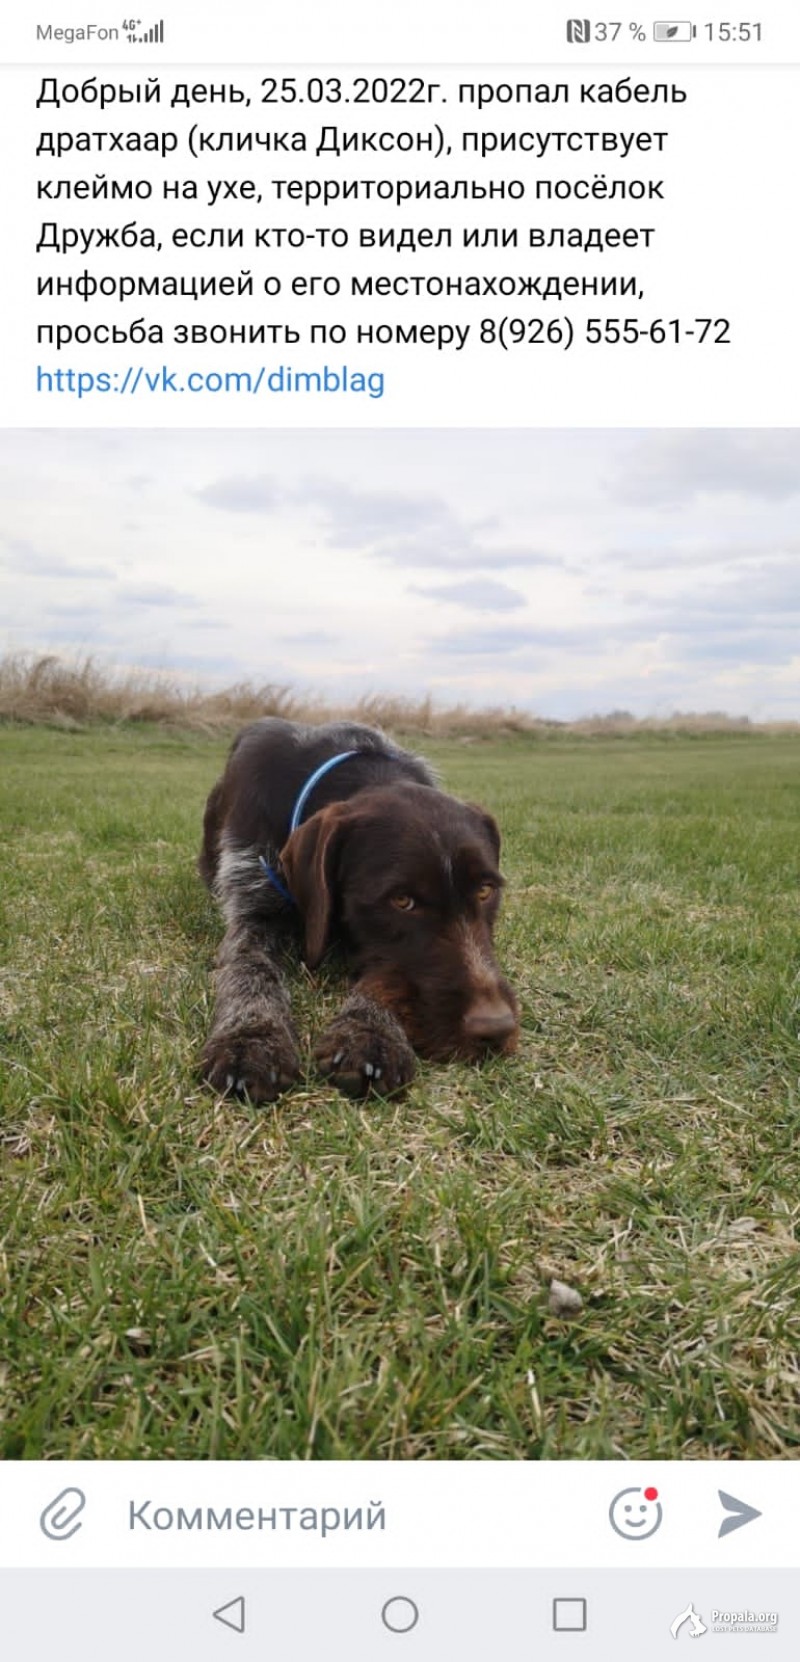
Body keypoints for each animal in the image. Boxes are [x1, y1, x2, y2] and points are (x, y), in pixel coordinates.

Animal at [199, 717, 518, 1096]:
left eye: (485, 891)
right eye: (402, 901)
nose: (497, 1028)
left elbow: (381, 975)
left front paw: (369, 1033)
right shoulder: (252, 904)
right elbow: (249, 966)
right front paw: (252, 1037)